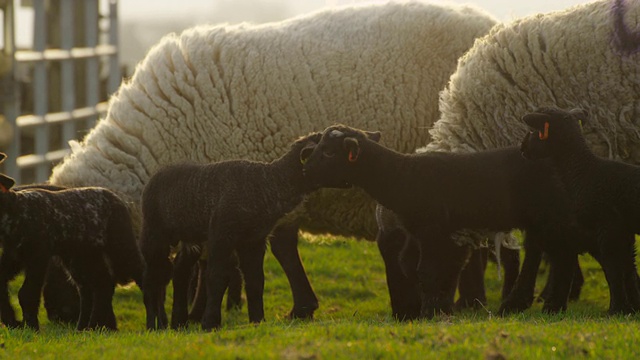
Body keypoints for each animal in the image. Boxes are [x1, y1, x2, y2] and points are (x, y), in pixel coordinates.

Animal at [140, 131, 338, 330]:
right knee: (152, 278)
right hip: (154, 235)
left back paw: (178, 323)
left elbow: (256, 281)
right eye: (327, 151)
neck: (268, 183)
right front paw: (210, 323)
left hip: (190, 238)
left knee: (178, 271)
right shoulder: (221, 235)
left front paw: (258, 321)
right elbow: (217, 277)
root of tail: (157, 174)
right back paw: (154, 325)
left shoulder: (253, 241)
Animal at [302, 124, 584, 318]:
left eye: (328, 152)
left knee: (561, 251)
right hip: (540, 217)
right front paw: (434, 307)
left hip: (548, 213)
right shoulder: (422, 233)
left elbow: (427, 271)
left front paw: (430, 311)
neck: (403, 176)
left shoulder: (433, 231)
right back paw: (531, 304)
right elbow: (415, 268)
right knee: (547, 250)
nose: (306, 170)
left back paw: (550, 304)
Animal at [520, 106, 640, 312]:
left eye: (537, 131)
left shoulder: (608, 226)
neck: (584, 172)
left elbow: (613, 269)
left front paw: (615, 310)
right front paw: (631, 307)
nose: (522, 148)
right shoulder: (624, 231)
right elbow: (627, 268)